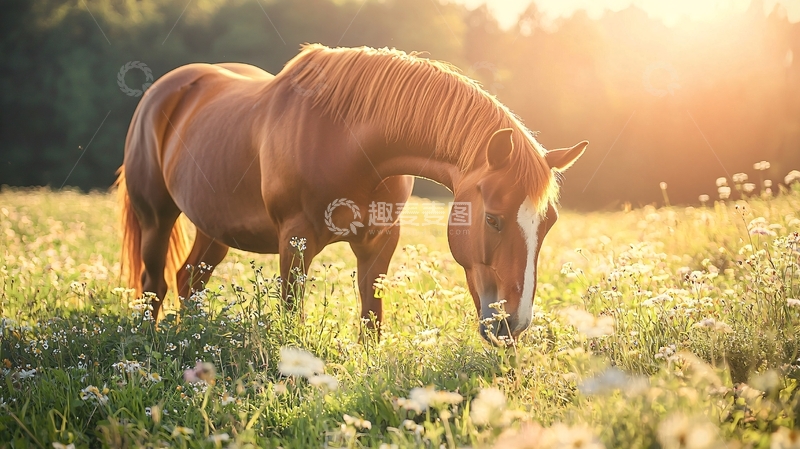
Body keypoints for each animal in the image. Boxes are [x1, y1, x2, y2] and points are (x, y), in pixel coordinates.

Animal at [117, 44, 587, 343]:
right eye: (493, 219)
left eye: (547, 225)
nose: (513, 325)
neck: (349, 142)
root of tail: (165, 89)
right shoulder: (295, 241)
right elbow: (291, 315)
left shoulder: (380, 243)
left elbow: (371, 320)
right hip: (156, 219)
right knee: (155, 285)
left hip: (213, 228)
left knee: (189, 281)